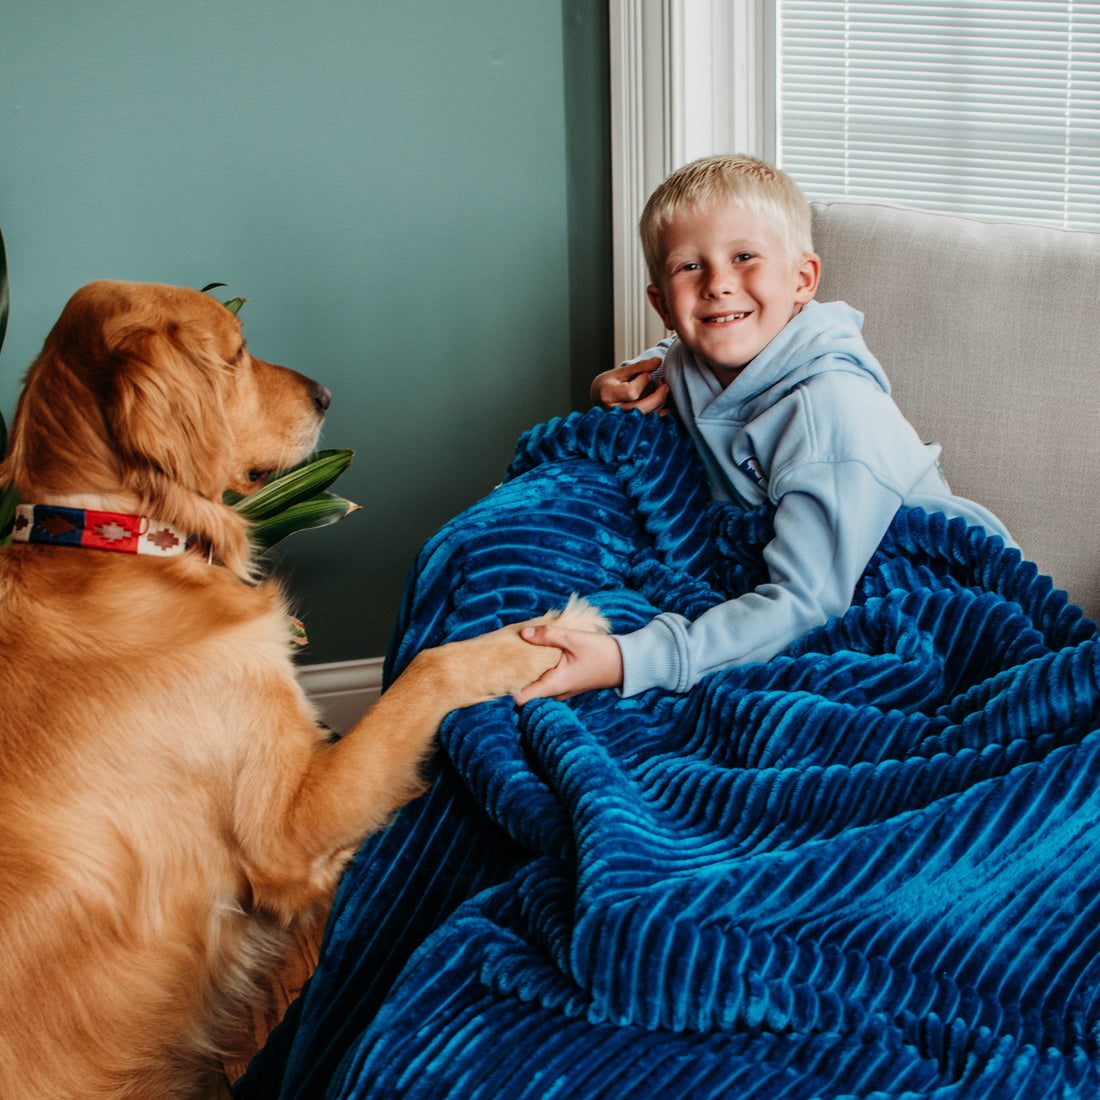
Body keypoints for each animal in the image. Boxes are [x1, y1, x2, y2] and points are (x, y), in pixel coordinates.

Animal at [0, 283, 602, 1100]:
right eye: (235, 352)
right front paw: (545, 634)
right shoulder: (283, 828)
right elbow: (429, 670)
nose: (326, 395)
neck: (110, 537)